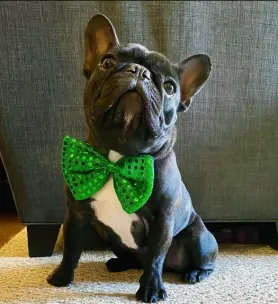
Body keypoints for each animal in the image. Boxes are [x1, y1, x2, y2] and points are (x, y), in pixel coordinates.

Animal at [47, 14, 217, 304]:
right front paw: (61, 278)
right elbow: (70, 248)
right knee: (135, 259)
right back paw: (119, 263)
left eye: (170, 87)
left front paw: (150, 290)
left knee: (201, 263)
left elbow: (155, 258)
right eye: (107, 63)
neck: (119, 158)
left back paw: (194, 273)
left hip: (200, 239)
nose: (139, 71)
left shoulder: (163, 220)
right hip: (108, 235)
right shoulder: (77, 214)